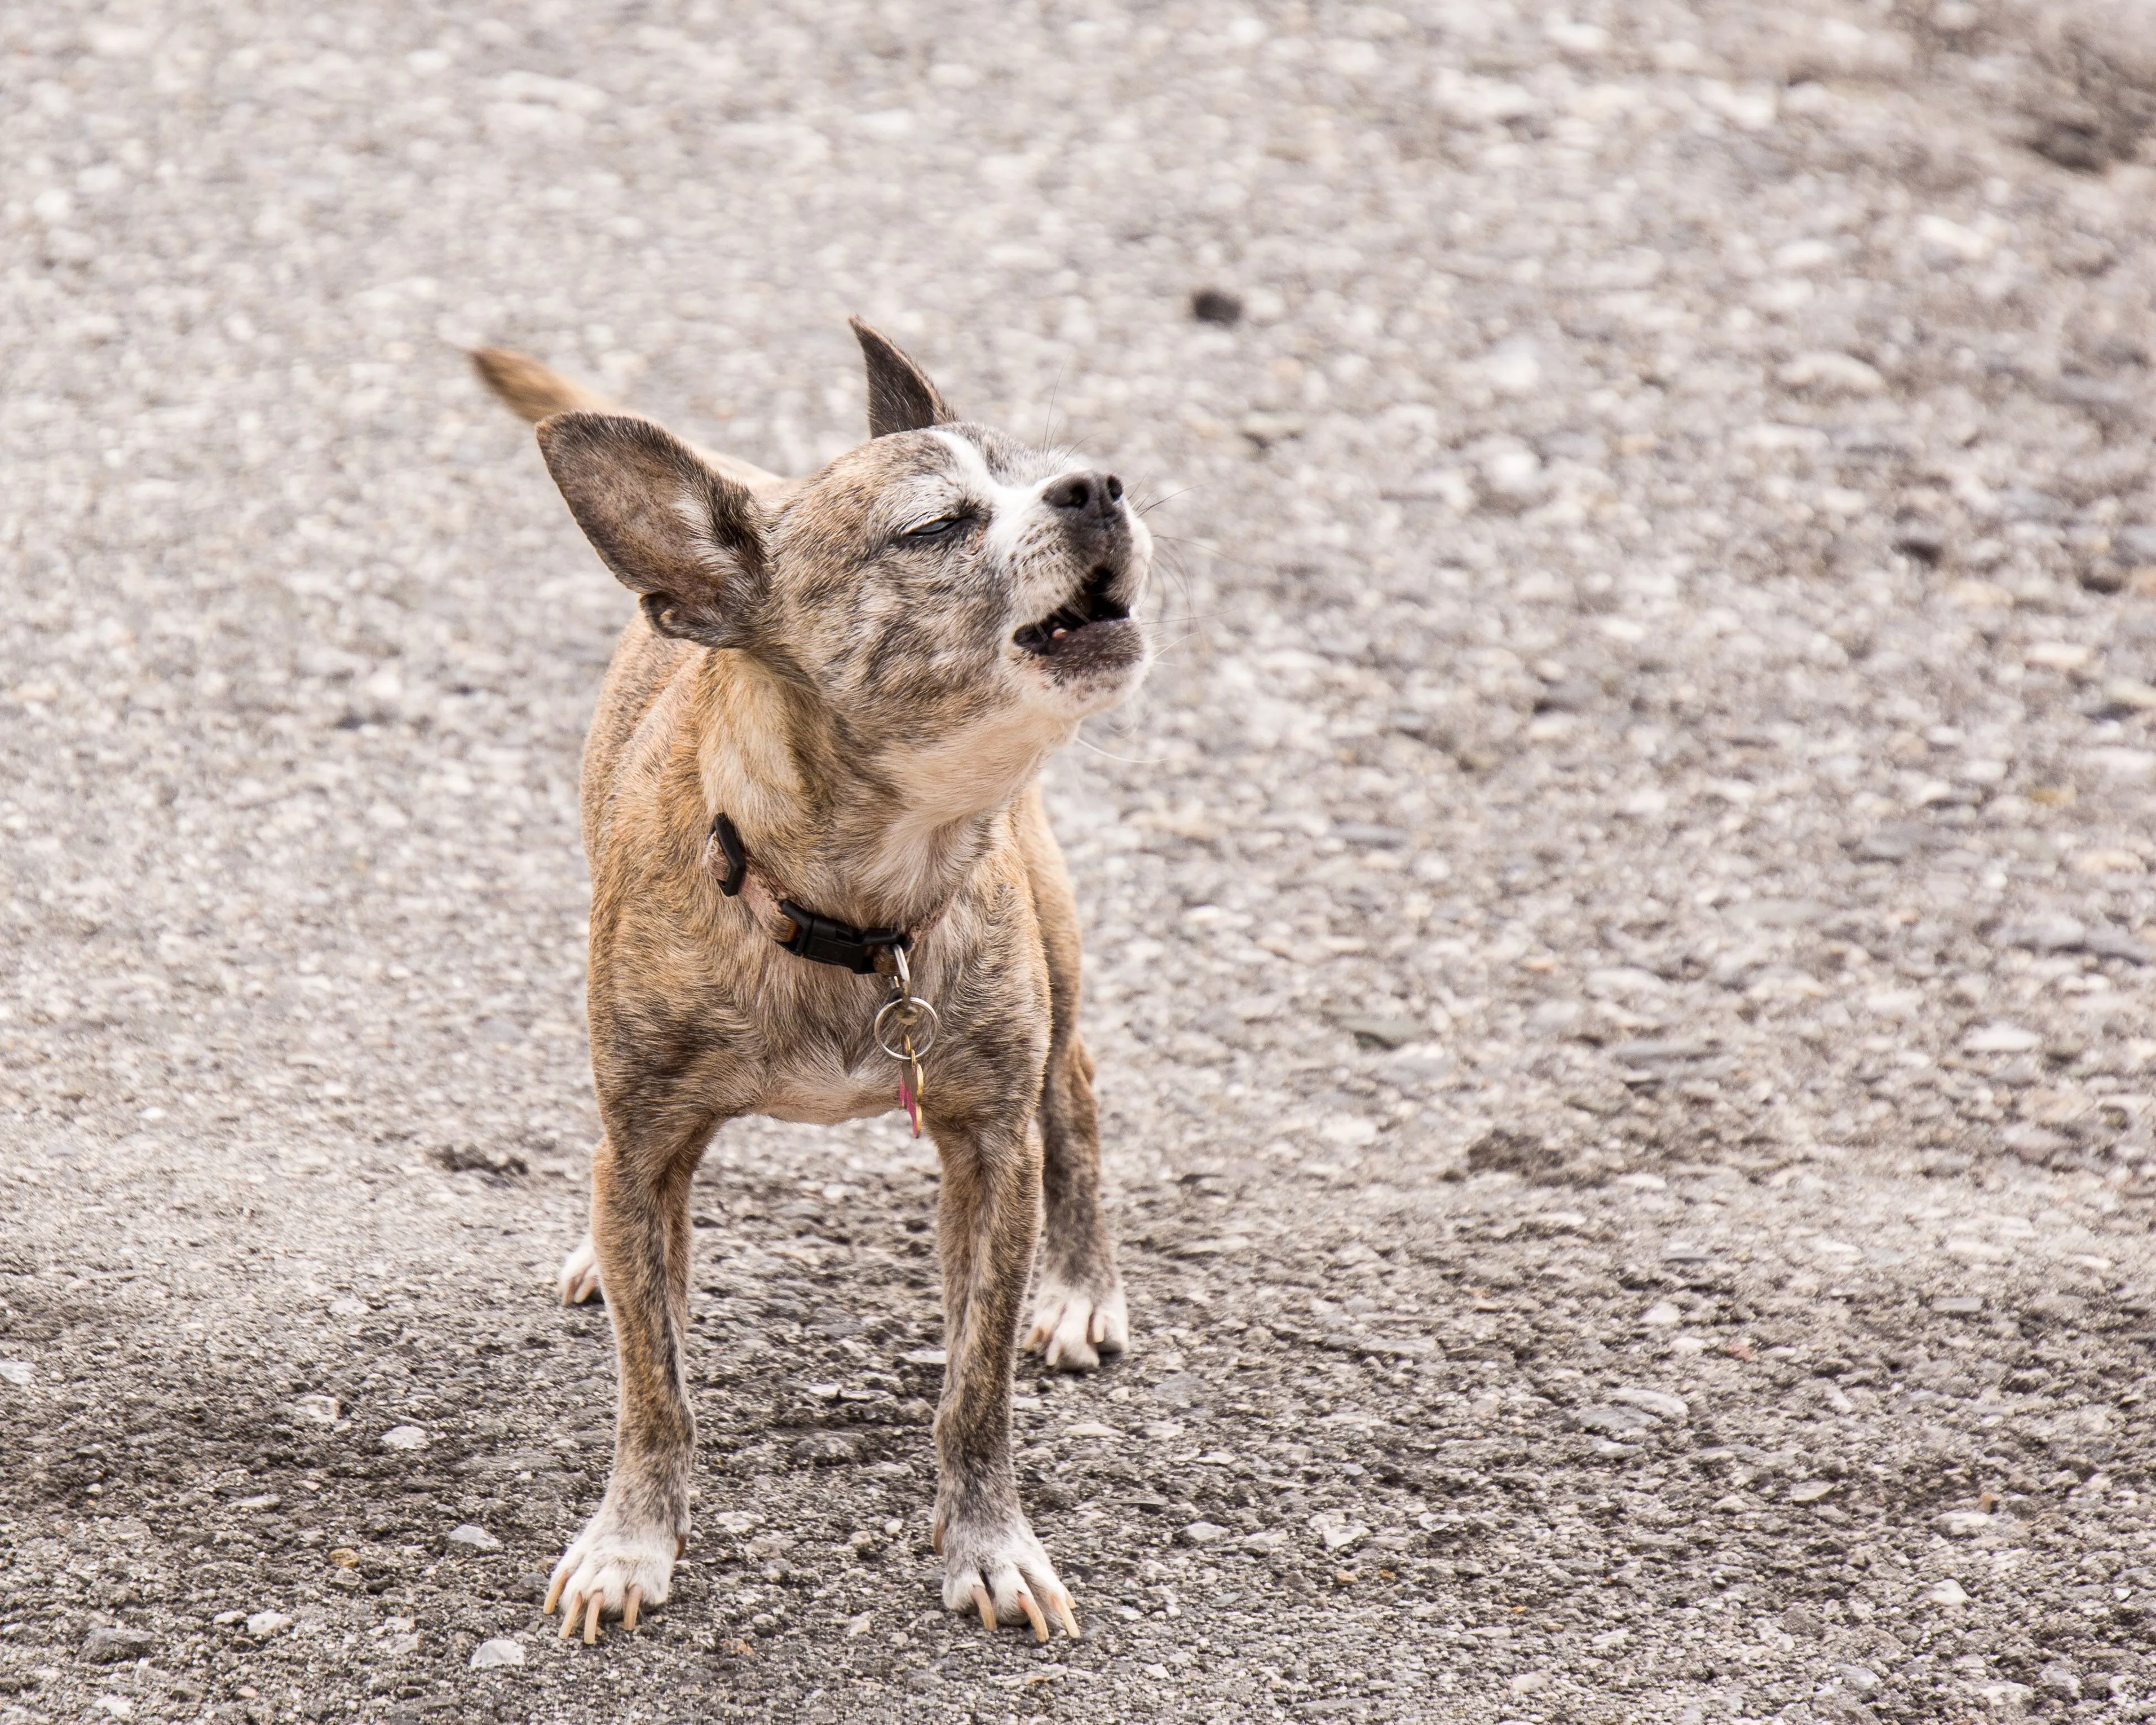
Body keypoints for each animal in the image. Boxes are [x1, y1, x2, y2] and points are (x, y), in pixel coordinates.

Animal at [472, 319, 1147, 1647]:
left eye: (1040, 466)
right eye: (935, 526)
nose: (1096, 483)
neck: (861, 905)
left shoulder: (989, 1153)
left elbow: (974, 1382)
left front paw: (988, 1541)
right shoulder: (645, 1148)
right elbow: (655, 1378)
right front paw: (631, 1539)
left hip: (1055, 955)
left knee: (1078, 1089)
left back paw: (1079, 1282)